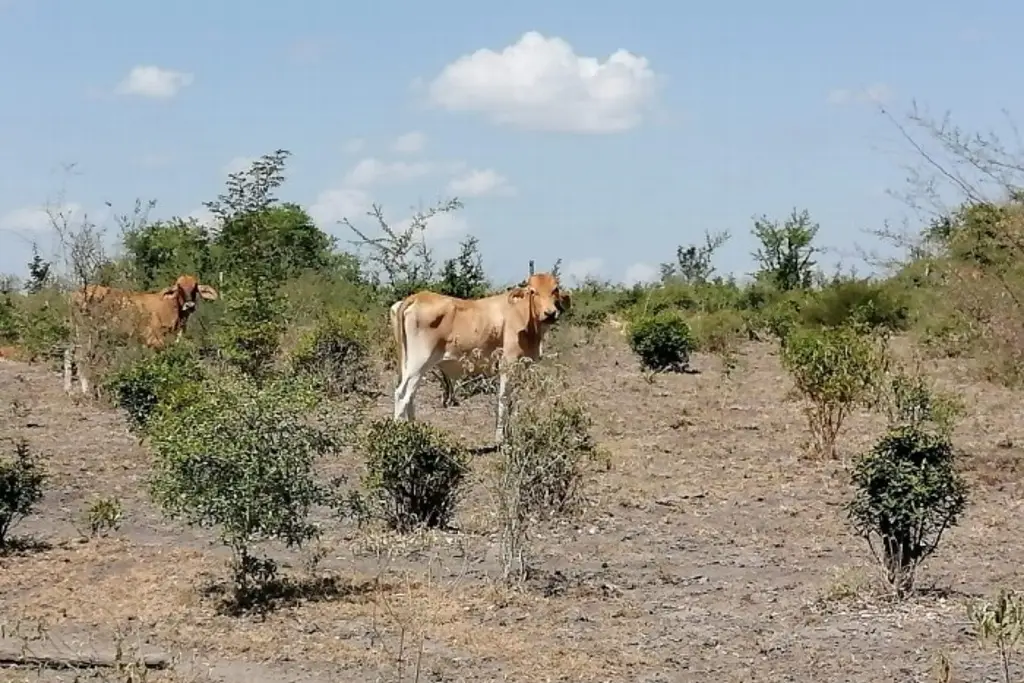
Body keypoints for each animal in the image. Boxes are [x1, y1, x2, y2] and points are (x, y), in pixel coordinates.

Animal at [62, 274, 219, 395]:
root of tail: (76, 293)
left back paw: (68, 388)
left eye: (195, 287)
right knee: (80, 356)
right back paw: (85, 390)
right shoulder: (154, 341)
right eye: (179, 287)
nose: (190, 305)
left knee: (68, 353)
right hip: (86, 332)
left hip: (75, 331)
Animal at [389, 272, 569, 444]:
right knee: (402, 394)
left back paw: (413, 428)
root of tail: (418, 296)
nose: (550, 313)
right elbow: (504, 398)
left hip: (411, 366)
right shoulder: (507, 364)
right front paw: (500, 438)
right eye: (533, 291)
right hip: (419, 363)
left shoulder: (523, 367)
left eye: (555, 289)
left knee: (410, 395)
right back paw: (400, 433)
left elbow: (514, 401)